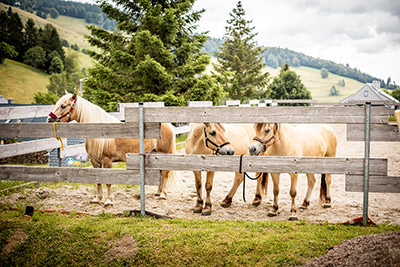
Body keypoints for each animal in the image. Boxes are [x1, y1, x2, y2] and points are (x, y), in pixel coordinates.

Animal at [47, 94, 177, 207]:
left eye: (63, 106)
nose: (49, 119)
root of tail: (168, 125)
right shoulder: (95, 162)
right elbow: (98, 180)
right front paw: (98, 199)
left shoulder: (107, 161)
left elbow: (108, 181)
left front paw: (109, 201)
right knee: (161, 172)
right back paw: (158, 192)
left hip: (163, 155)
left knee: (165, 173)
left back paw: (163, 195)